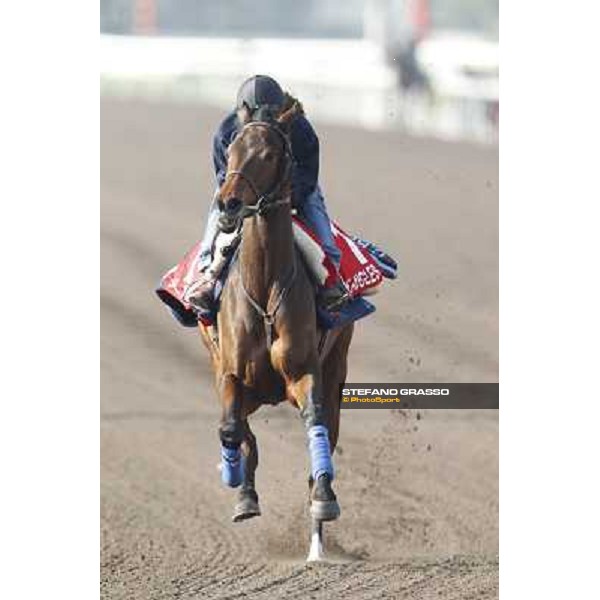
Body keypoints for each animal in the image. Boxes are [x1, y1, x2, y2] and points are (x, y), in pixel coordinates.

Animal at [199, 101, 354, 560]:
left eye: (269, 155)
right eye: (231, 150)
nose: (228, 202)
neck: (265, 285)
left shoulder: (306, 372)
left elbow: (315, 423)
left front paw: (323, 499)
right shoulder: (230, 373)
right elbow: (230, 428)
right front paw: (237, 482)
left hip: (337, 368)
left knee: (326, 431)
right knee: (238, 426)